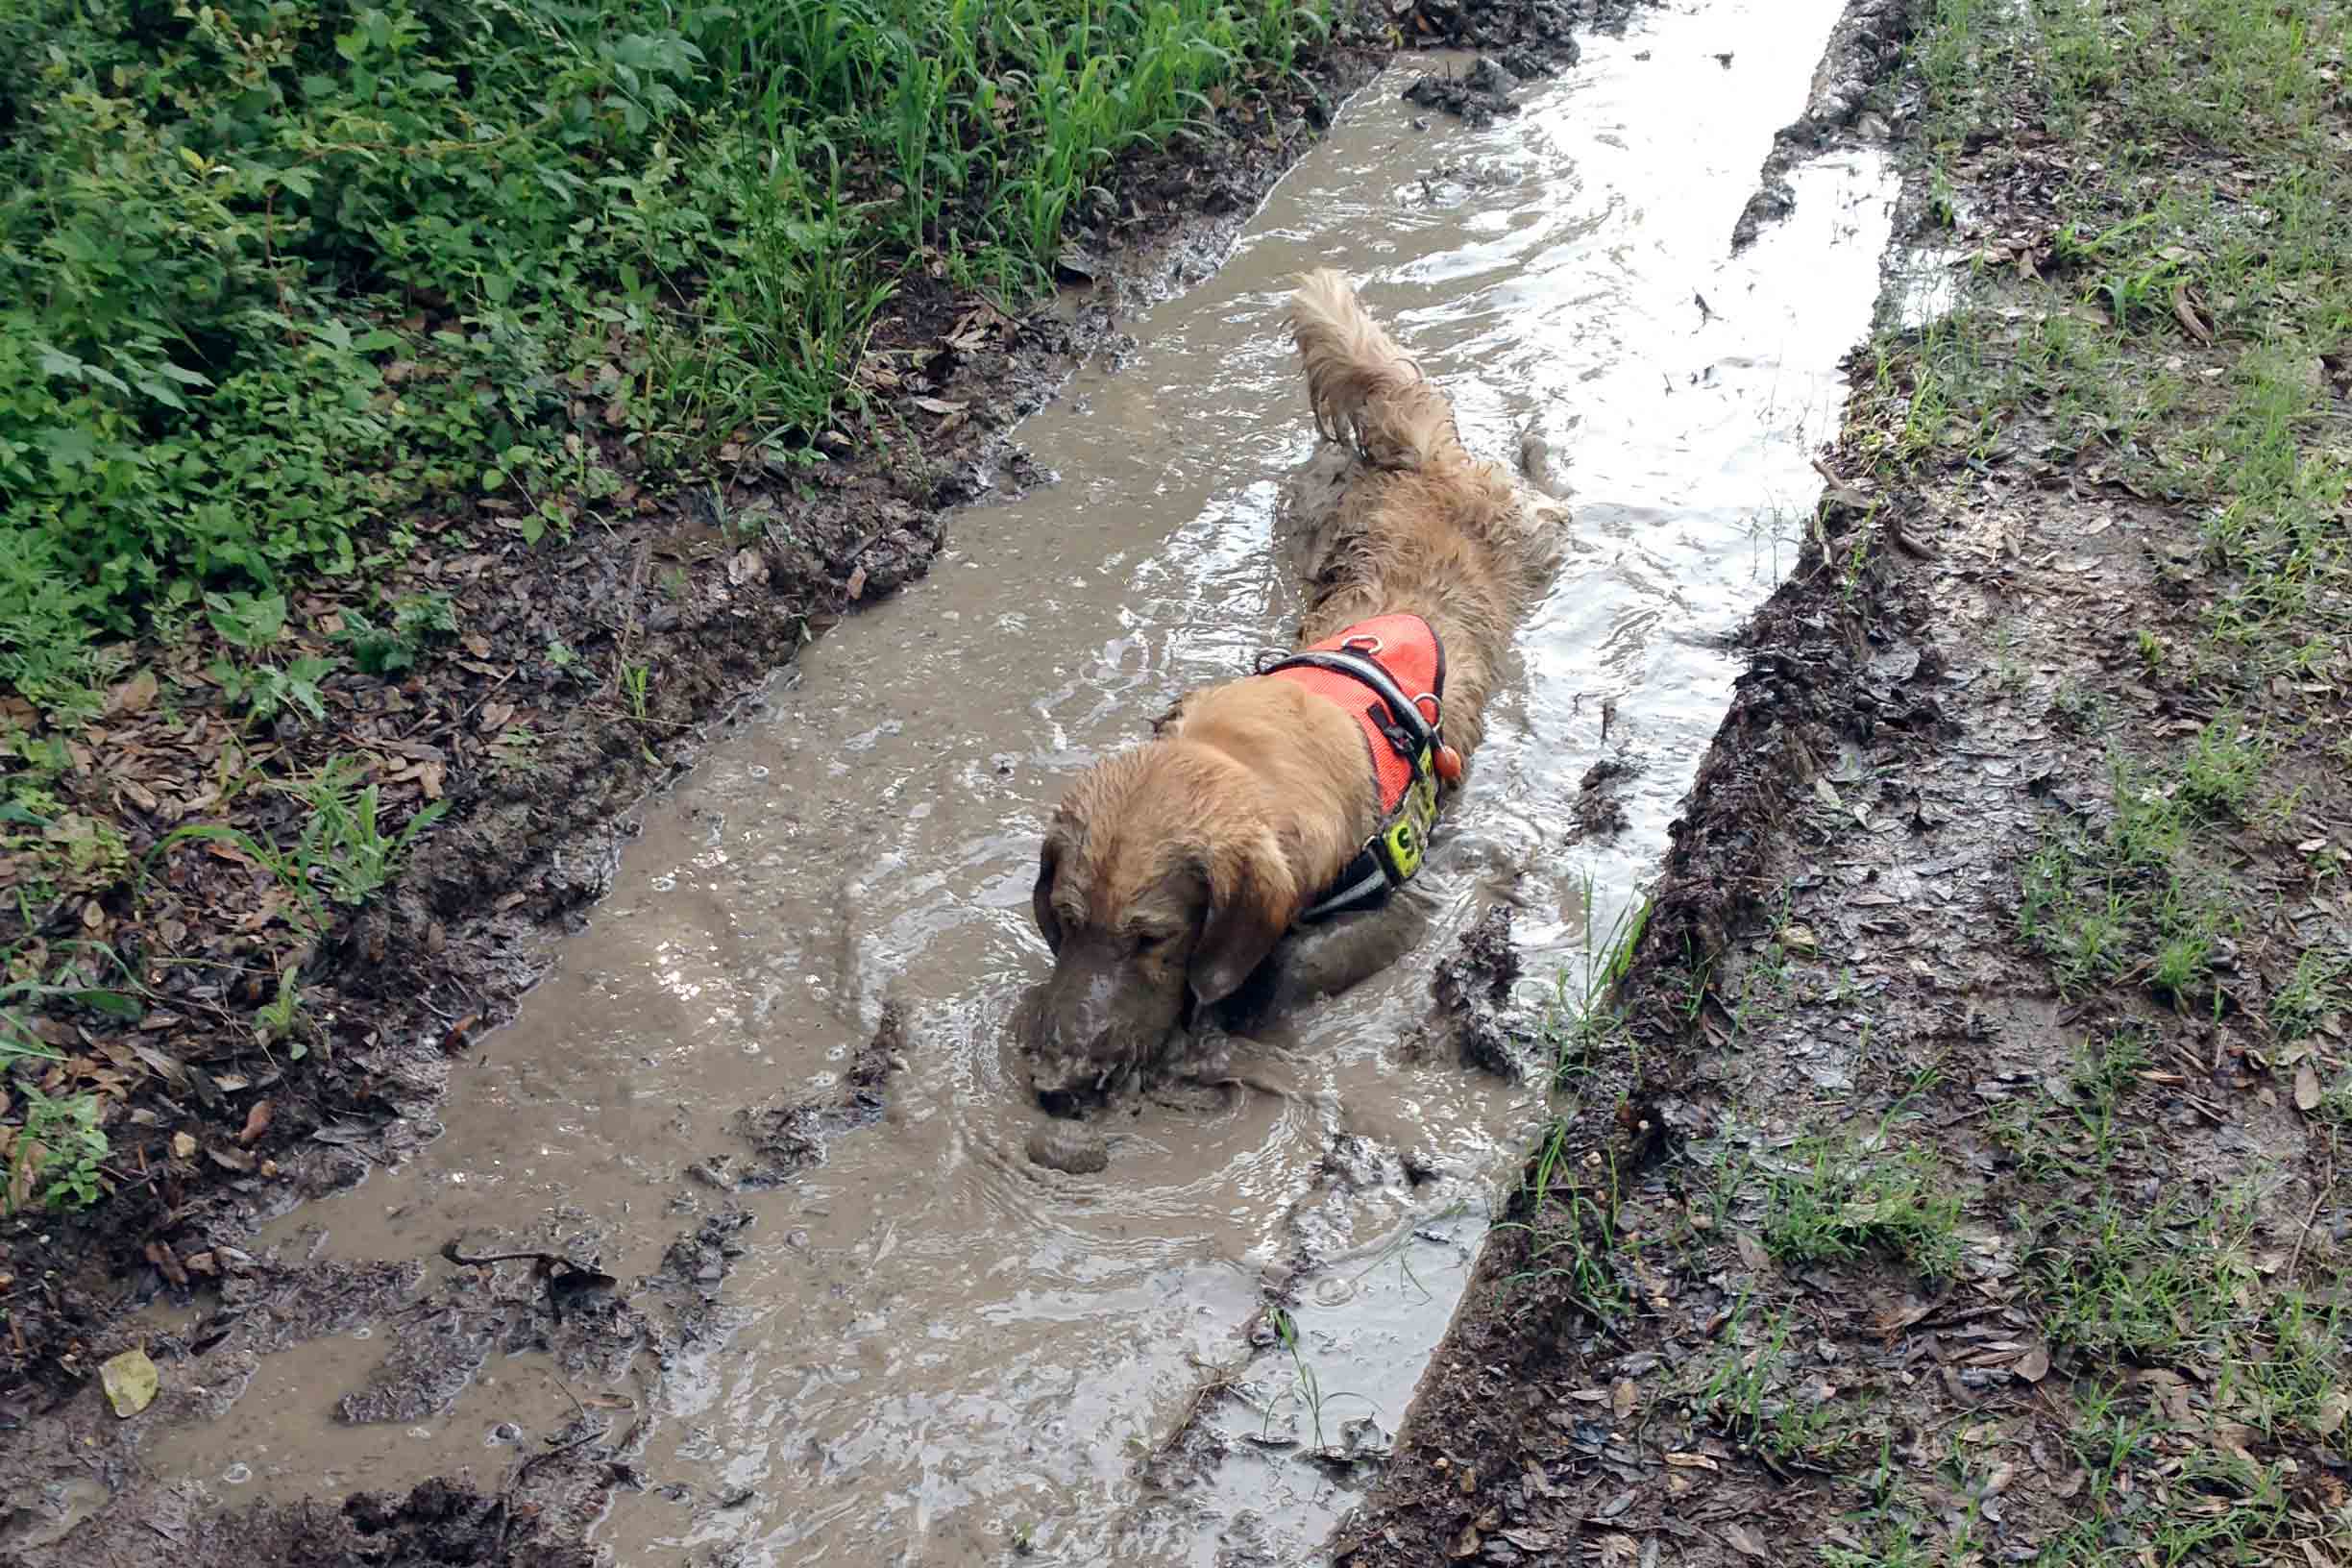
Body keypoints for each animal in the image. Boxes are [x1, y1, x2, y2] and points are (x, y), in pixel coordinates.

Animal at [1025, 270, 1561, 1109]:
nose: (1056, 1083)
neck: (1252, 754)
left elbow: (1285, 967)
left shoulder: (1403, 899)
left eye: (1153, 938)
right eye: (1068, 920)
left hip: (1534, 536)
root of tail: (1420, 463)